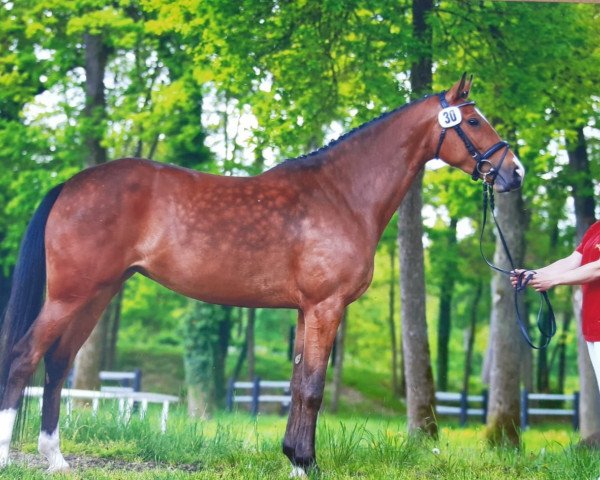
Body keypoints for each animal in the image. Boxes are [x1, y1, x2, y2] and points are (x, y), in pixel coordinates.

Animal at [0, 73, 524, 474]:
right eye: (473, 121)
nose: (514, 172)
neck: (342, 194)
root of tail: (71, 184)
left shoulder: (305, 310)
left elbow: (296, 385)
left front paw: (294, 457)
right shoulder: (326, 307)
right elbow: (312, 389)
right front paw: (306, 465)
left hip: (98, 294)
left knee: (57, 363)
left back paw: (56, 459)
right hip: (70, 295)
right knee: (25, 356)